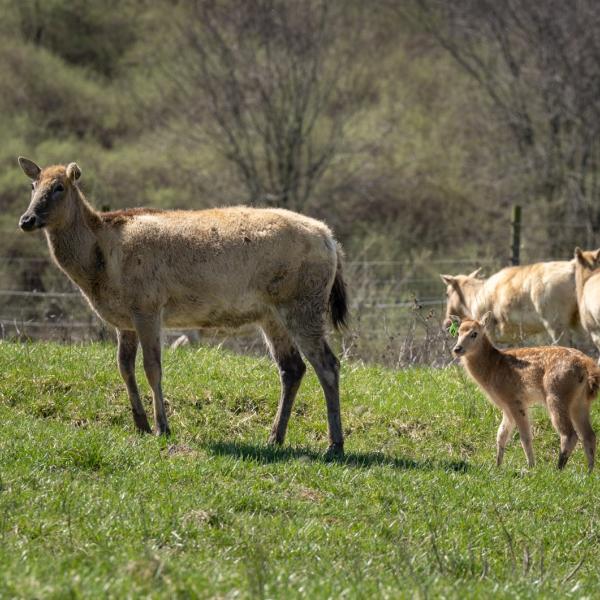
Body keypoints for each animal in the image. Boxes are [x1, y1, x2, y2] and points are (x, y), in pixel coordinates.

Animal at [17, 157, 346, 458]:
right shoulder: (123, 320)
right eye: (33, 185)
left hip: (304, 303)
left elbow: (152, 367)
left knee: (328, 364)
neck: (100, 270)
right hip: (272, 314)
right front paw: (140, 425)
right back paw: (275, 438)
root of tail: (331, 240)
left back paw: (334, 445)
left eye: (59, 187)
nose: (27, 219)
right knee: (292, 368)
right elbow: (124, 367)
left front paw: (162, 427)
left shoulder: (148, 304)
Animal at [452, 312, 596, 472]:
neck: (493, 367)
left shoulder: (514, 399)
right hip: (580, 402)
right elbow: (501, 434)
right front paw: (497, 466)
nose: (457, 349)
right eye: (458, 333)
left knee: (569, 434)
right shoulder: (506, 406)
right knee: (589, 435)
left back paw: (558, 469)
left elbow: (525, 436)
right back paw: (589, 471)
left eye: (474, 333)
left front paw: (531, 467)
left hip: (556, 394)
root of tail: (587, 365)